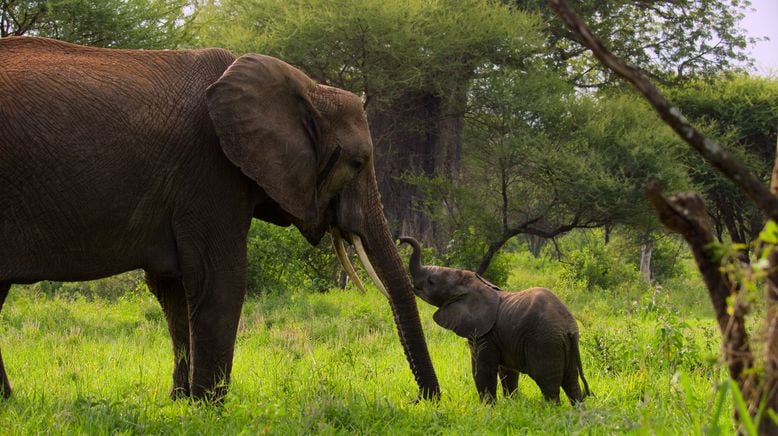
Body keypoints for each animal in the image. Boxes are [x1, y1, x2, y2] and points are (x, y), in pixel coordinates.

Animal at [0, 37, 436, 402]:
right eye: (358, 163)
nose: (422, 399)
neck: (309, 88)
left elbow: (172, 289)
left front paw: (183, 403)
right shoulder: (209, 170)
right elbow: (219, 279)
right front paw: (210, 407)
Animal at [400, 237, 588, 404]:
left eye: (431, 281)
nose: (401, 240)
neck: (476, 285)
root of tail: (569, 328)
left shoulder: (484, 333)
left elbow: (482, 369)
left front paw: (487, 408)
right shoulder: (503, 337)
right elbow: (507, 371)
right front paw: (512, 403)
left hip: (545, 343)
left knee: (549, 385)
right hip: (564, 345)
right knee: (572, 382)